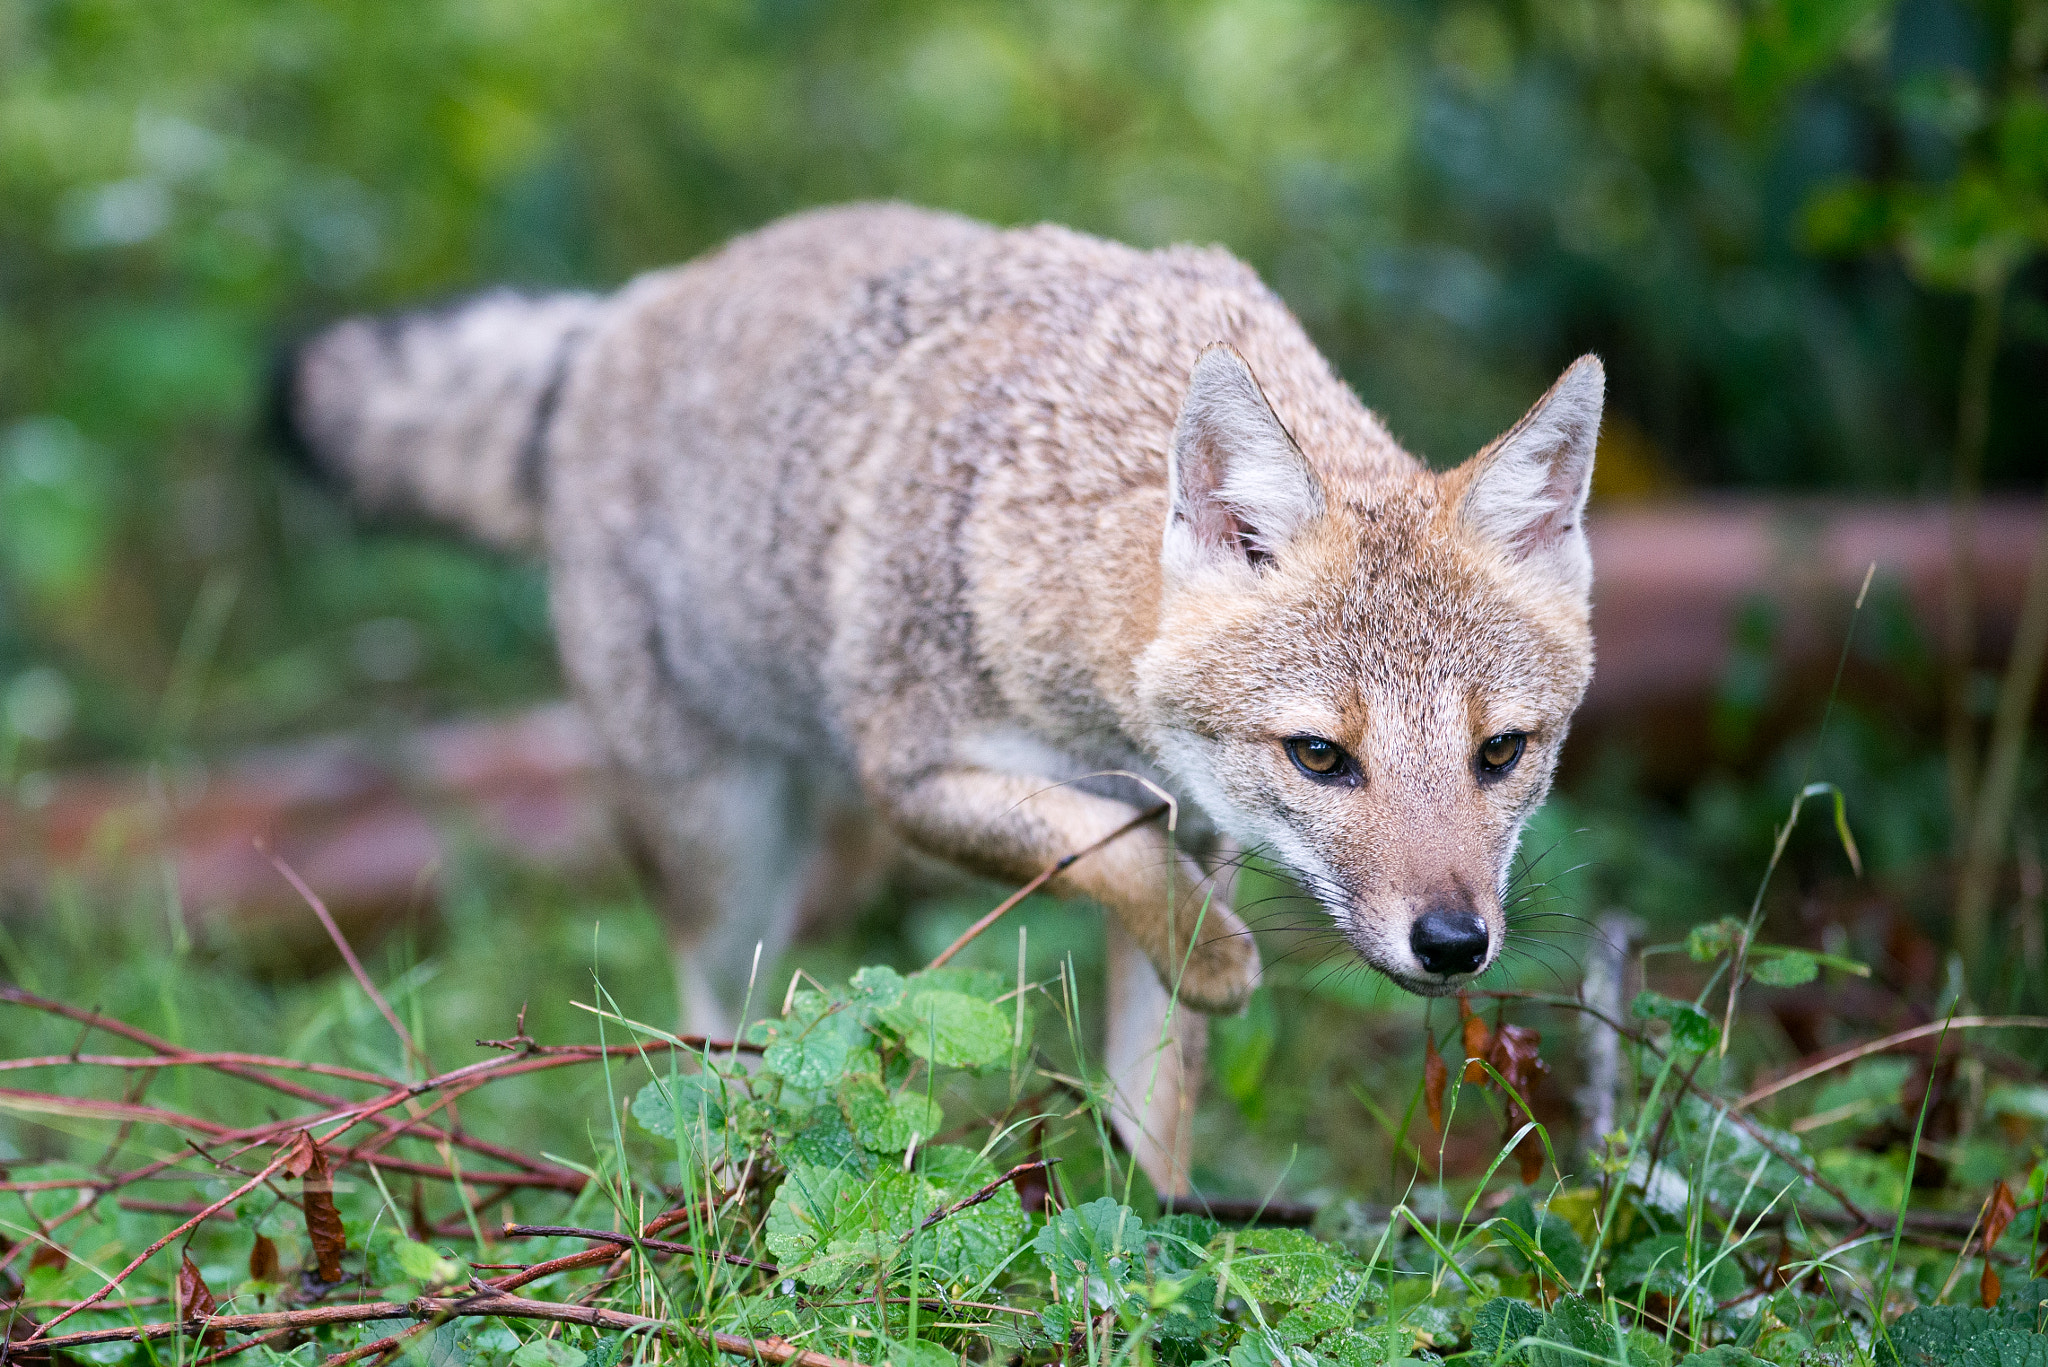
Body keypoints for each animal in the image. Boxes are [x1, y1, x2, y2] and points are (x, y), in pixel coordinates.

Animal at [281, 201, 1600, 1196]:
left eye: (1500, 752)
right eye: (1322, 756)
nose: (1453, 943)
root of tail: (628, 308)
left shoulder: (1196, 835)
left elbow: (1153, 1088)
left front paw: (1157, 1244)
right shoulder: (916, 778)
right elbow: (1111, 850)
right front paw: (1225, 966)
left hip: (820, 843)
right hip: (723, 841)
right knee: (710, 1020)